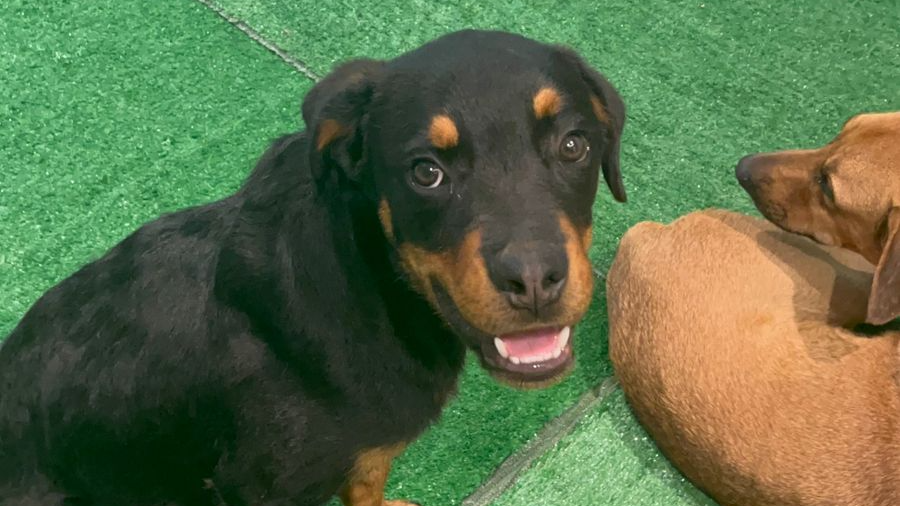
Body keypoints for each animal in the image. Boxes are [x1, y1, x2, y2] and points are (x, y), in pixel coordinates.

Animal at [0, 30, 624, 506]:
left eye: (574, 145)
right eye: (426, 172)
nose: (534, 280)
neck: (376, 287)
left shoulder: (366, 454)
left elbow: (367, 486)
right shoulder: (259, 488)